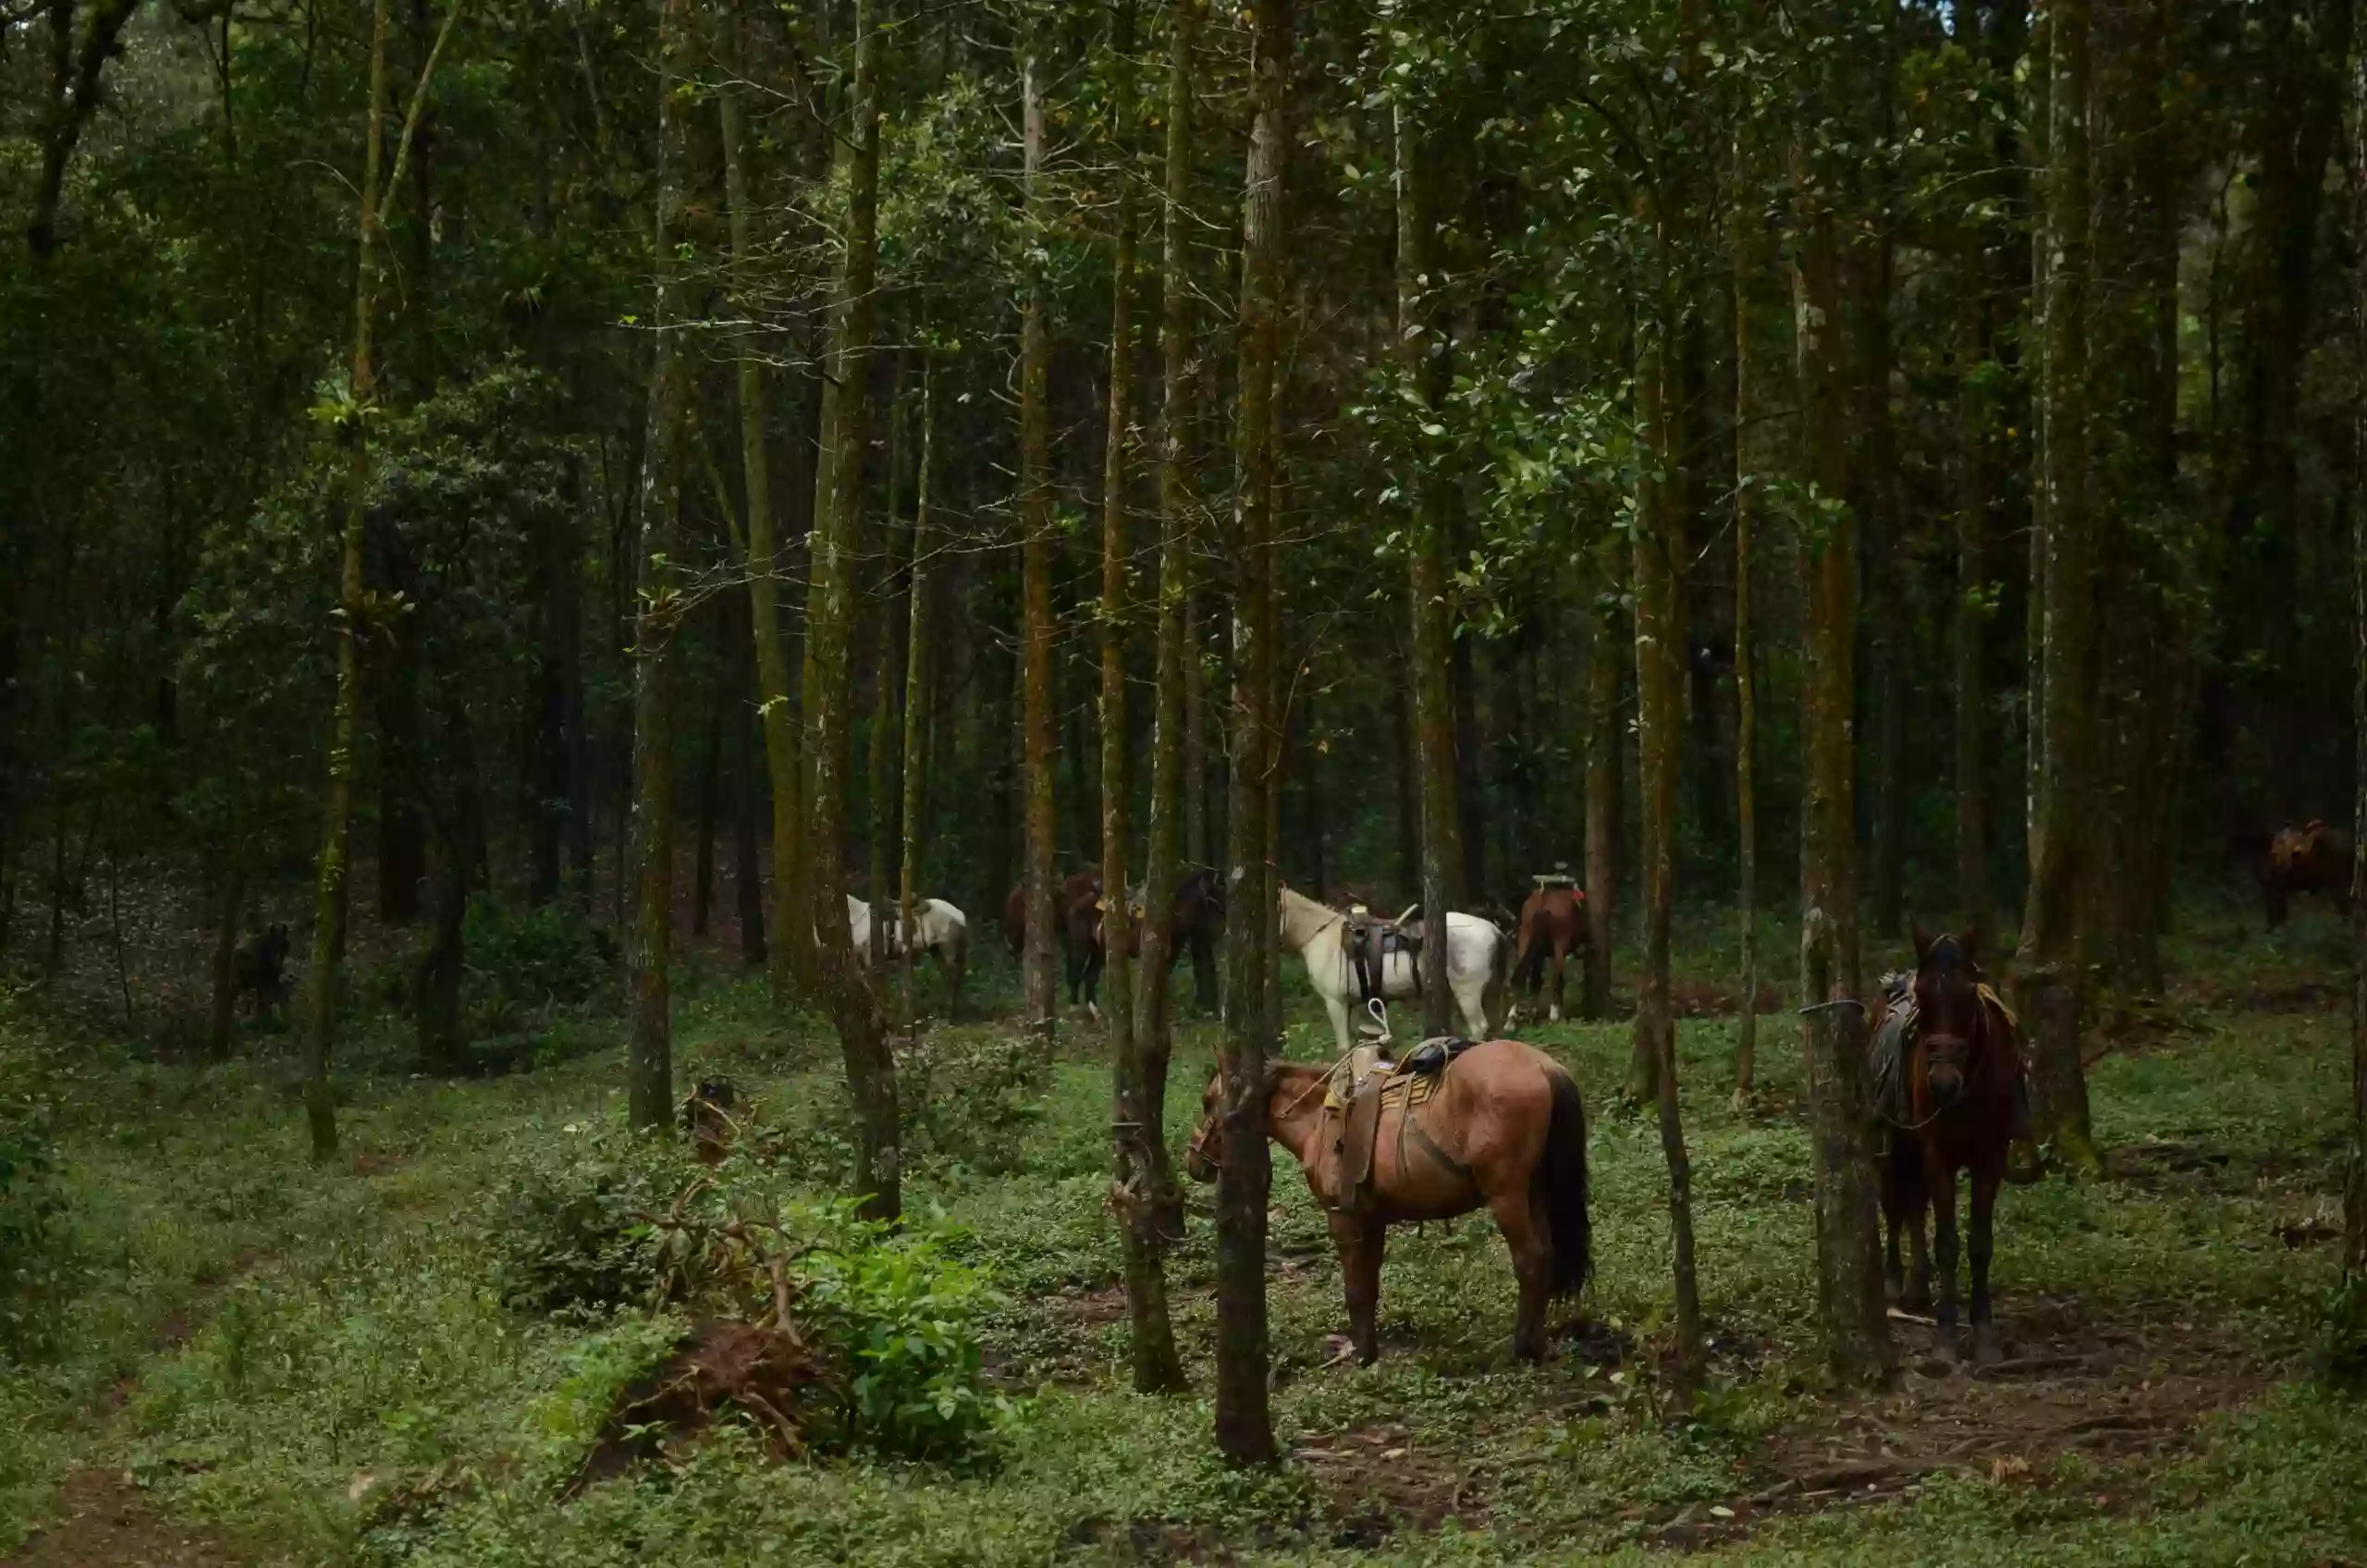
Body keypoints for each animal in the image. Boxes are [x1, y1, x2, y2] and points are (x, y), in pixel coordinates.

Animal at [1184, 1042, 1590, 1364]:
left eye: (1206, 1101)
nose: (1192, 1161)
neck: (1318, 1118)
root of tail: (1543, 1066)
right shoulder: (1372, 1220)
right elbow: (1369, 1286)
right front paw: (1370, 1349)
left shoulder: (1342, 1219)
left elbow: (1354, 1289)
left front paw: (1361, 1355)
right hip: (1535, 1193)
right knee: (1547, 1254)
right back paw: (1539, 1343)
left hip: (1507, 1196)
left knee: (1530, 1259)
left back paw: (1523, 1348)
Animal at [1278, 890, 1515, 1051]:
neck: (1323, 937)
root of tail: (1493, 929)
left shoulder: (1335, 1002)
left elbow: (1343, 1046)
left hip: (1468, 993)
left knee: (1479, 1027)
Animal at [1515, 890, 1590, 1027]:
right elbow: (1559, 982)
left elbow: (1536, 981)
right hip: (1559, 948)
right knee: (1554, 979)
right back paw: (1554, 1015)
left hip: (1525, 943)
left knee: (1526, 978)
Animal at [1874, 928, 2026, 1373]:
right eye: (1924, 996)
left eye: (1968, 993)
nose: (1942, 1083)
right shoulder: (1937, 1155)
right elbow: (1946, 1243)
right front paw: (1944, 1336)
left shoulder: (1991, 1158)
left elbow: (1979, 1244)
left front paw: (1985, 1333)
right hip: (1894, 1144)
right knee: (1896, 1205)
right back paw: (1897, 1281)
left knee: (1912, 1205)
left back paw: (1920, 1286)